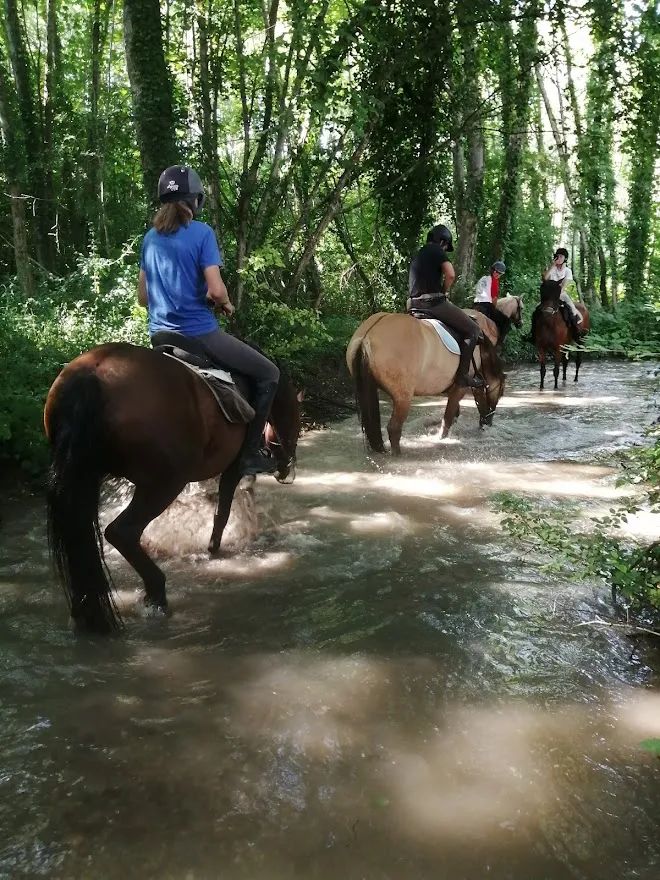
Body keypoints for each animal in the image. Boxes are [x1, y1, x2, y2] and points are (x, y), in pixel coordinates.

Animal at [45, 340, 302, 636]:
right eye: (296, 422)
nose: (287, 468)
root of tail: (91, 374)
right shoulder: (233, 468)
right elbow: (222, 512)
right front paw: (215, 550)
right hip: (164, 483)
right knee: (122, 532)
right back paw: (155, 594)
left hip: (87, 477)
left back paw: (84, 611)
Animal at [346, 312, 506, 454]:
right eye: (500, 393)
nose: (487, 423)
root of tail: (368, 334)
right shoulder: (460, 387)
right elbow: (448, 417)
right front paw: (442, 438)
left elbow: (453, 412)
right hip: (403, 397)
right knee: (394, 428)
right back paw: (398, 455)